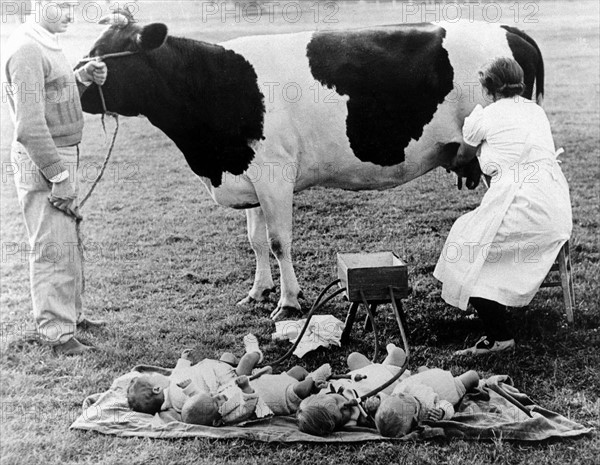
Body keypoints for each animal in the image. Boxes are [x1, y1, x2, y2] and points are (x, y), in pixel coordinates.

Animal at [81, 8, 548, 320]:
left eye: (107, 52)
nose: (80, 88)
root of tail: (507, 28)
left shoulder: (274, 174)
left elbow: (278, 241)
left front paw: (288, 302)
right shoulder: (248, 174)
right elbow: (255, 242)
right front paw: (258, 292)